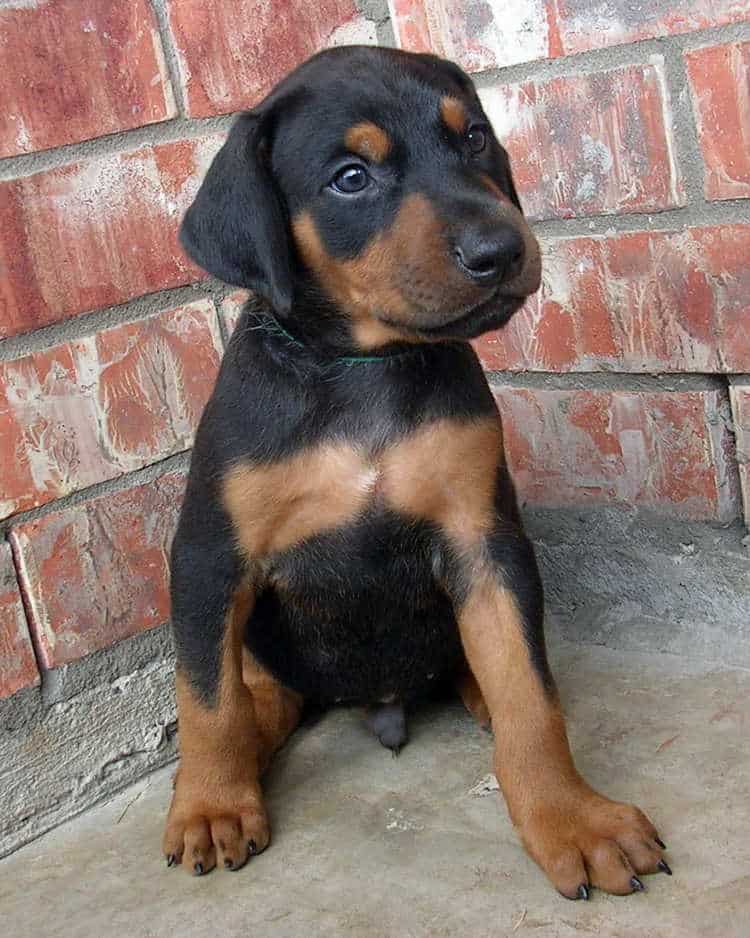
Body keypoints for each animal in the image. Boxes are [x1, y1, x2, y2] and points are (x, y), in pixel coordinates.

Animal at [163, 47, 668, 896]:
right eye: (350, 178)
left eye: (474, 139)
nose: (501, 250)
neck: (364, 366)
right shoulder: (208, 556)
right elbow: (208, 698)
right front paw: (210, 806)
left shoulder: (484, 540)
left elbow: (530, 695)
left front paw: (571, 817)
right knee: (255, 695)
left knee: (491, 671)